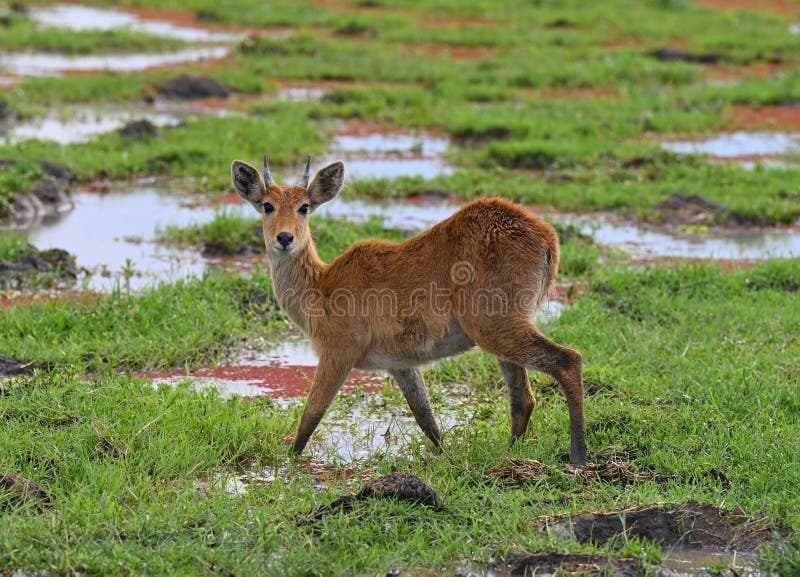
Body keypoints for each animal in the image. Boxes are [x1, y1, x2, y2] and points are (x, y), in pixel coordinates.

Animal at [230, 155, 588, 466]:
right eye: (267, 205)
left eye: (304, 207)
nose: (285, 237)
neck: (320, 284)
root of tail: (546, 237)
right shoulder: (400, 364)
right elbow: (427, 420)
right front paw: (447, 458)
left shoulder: (337, 354)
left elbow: (310, 417)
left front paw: (286, 464)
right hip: (503, 333)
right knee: (522, 399)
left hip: (496, 327)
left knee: (568, 360)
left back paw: (578, 458)